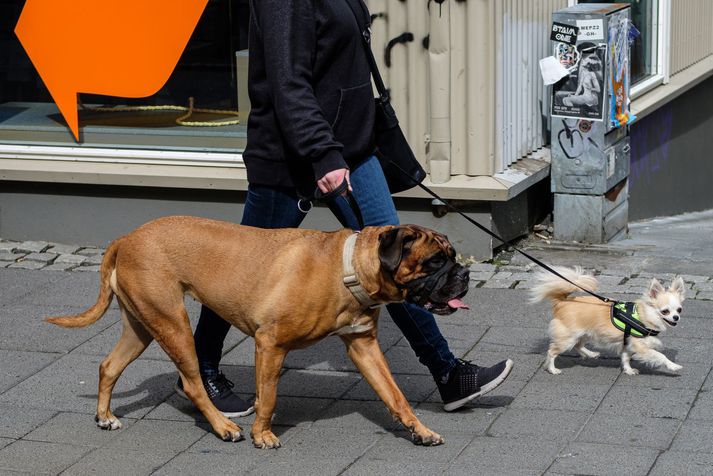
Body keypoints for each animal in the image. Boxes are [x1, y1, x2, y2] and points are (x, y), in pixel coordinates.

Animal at [46, 218, 468, 448]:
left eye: (453, 256)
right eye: (434, 262)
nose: (464, 275)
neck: (348, 268)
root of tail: (126, 238)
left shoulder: (364, 348)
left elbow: (396, 397)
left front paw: (420, 430)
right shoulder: (270, 345)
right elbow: (268, 397)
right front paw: (261, 434)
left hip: (142, 324)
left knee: (109, 366)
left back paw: (105, 416)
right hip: (173, 325)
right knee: (193, 383)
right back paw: (223, 426)